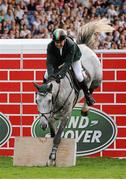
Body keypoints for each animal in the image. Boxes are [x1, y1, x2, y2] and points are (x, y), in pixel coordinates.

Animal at [33, 18, 114, 166]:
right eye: (37, 101)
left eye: (49, 100)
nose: (42, 124)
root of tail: (84, 46)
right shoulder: (51, 117)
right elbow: (53, 134)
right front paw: (51, 154)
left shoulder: (66, 115)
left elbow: (57, 137)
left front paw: (52, 158)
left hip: (96, 78)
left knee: (89, 89)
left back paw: (86, 107)